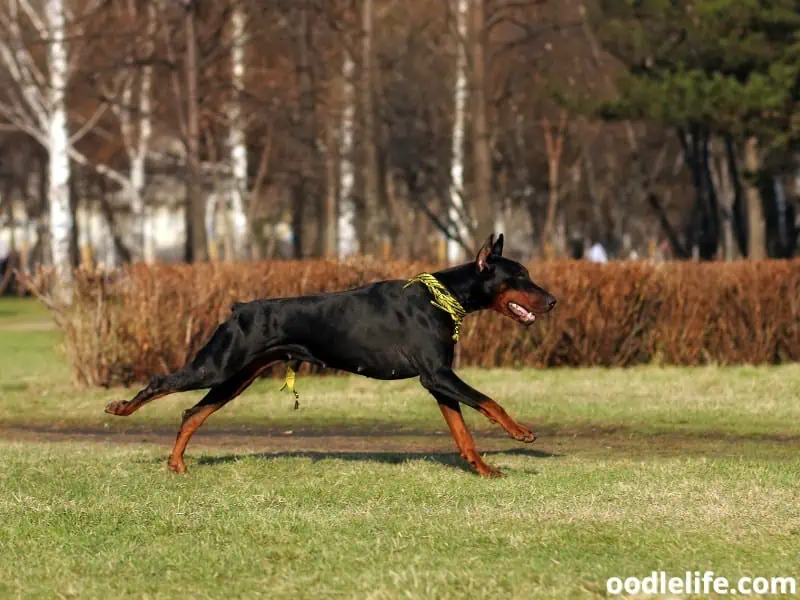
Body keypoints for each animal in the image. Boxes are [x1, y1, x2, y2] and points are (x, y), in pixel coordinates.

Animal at [106, 234, 556, 478]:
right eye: (519, 276)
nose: (552, 300)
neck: (441, 298)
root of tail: (239, 308)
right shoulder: (437, 374)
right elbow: (489, 401)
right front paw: (520, 432)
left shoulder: (439, 380)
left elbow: (462, 433)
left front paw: (483, 468)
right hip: (216, 365)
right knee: (161, 383)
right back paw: (122, 408)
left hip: (237, 377)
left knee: (192, 414)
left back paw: (176, 463)